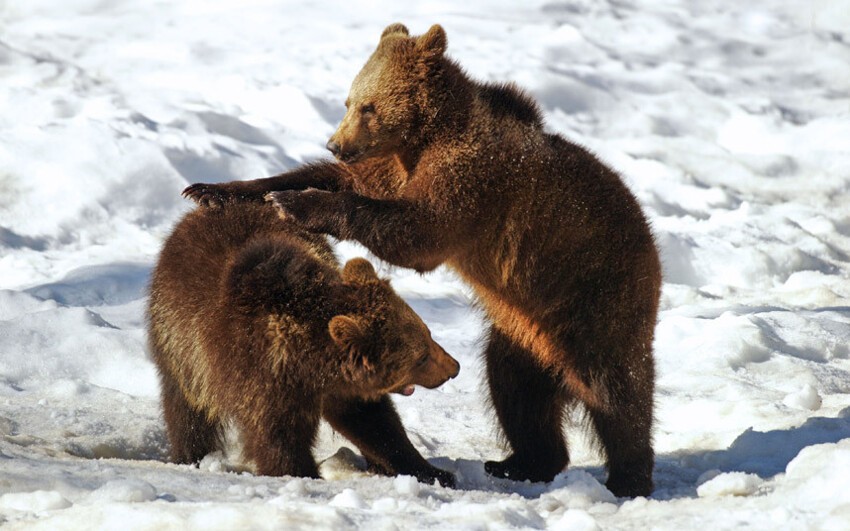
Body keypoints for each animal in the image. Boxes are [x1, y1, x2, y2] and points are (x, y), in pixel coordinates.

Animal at [149, 202, 460, 488]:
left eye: (428, 334)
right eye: (421, 357)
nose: (454, 368)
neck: (308, 364)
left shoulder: (341, 387)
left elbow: (376, 424)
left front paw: (434, 472)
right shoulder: (259, 375)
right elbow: (278, 437)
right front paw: (301, 473)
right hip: (182, 343)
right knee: (187, 409)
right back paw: (192, 456)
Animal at [184, 22, 664, 498]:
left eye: (369, 106)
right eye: (348, 101)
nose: (336, 143)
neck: (423, 137)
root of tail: (649, 237)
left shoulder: (468, 177)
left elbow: (417, 231)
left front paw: (297, 204)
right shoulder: (390, 168)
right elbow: (340, 181)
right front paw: (218, 189)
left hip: (595, 293)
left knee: (616, 390)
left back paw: (628, 478)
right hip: (524, 331)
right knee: (514, 387)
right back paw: (520, 462)